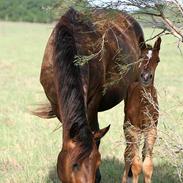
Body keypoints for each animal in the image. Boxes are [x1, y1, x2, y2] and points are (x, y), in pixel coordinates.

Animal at [122, 37, 161, 183]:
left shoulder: (151, 129)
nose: (145, 77)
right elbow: (136, 165)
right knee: (128, 154)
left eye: (157, 60)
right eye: (140, 58)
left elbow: (148, 166)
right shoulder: (133, 129)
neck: (144, 105)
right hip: (127, 127)